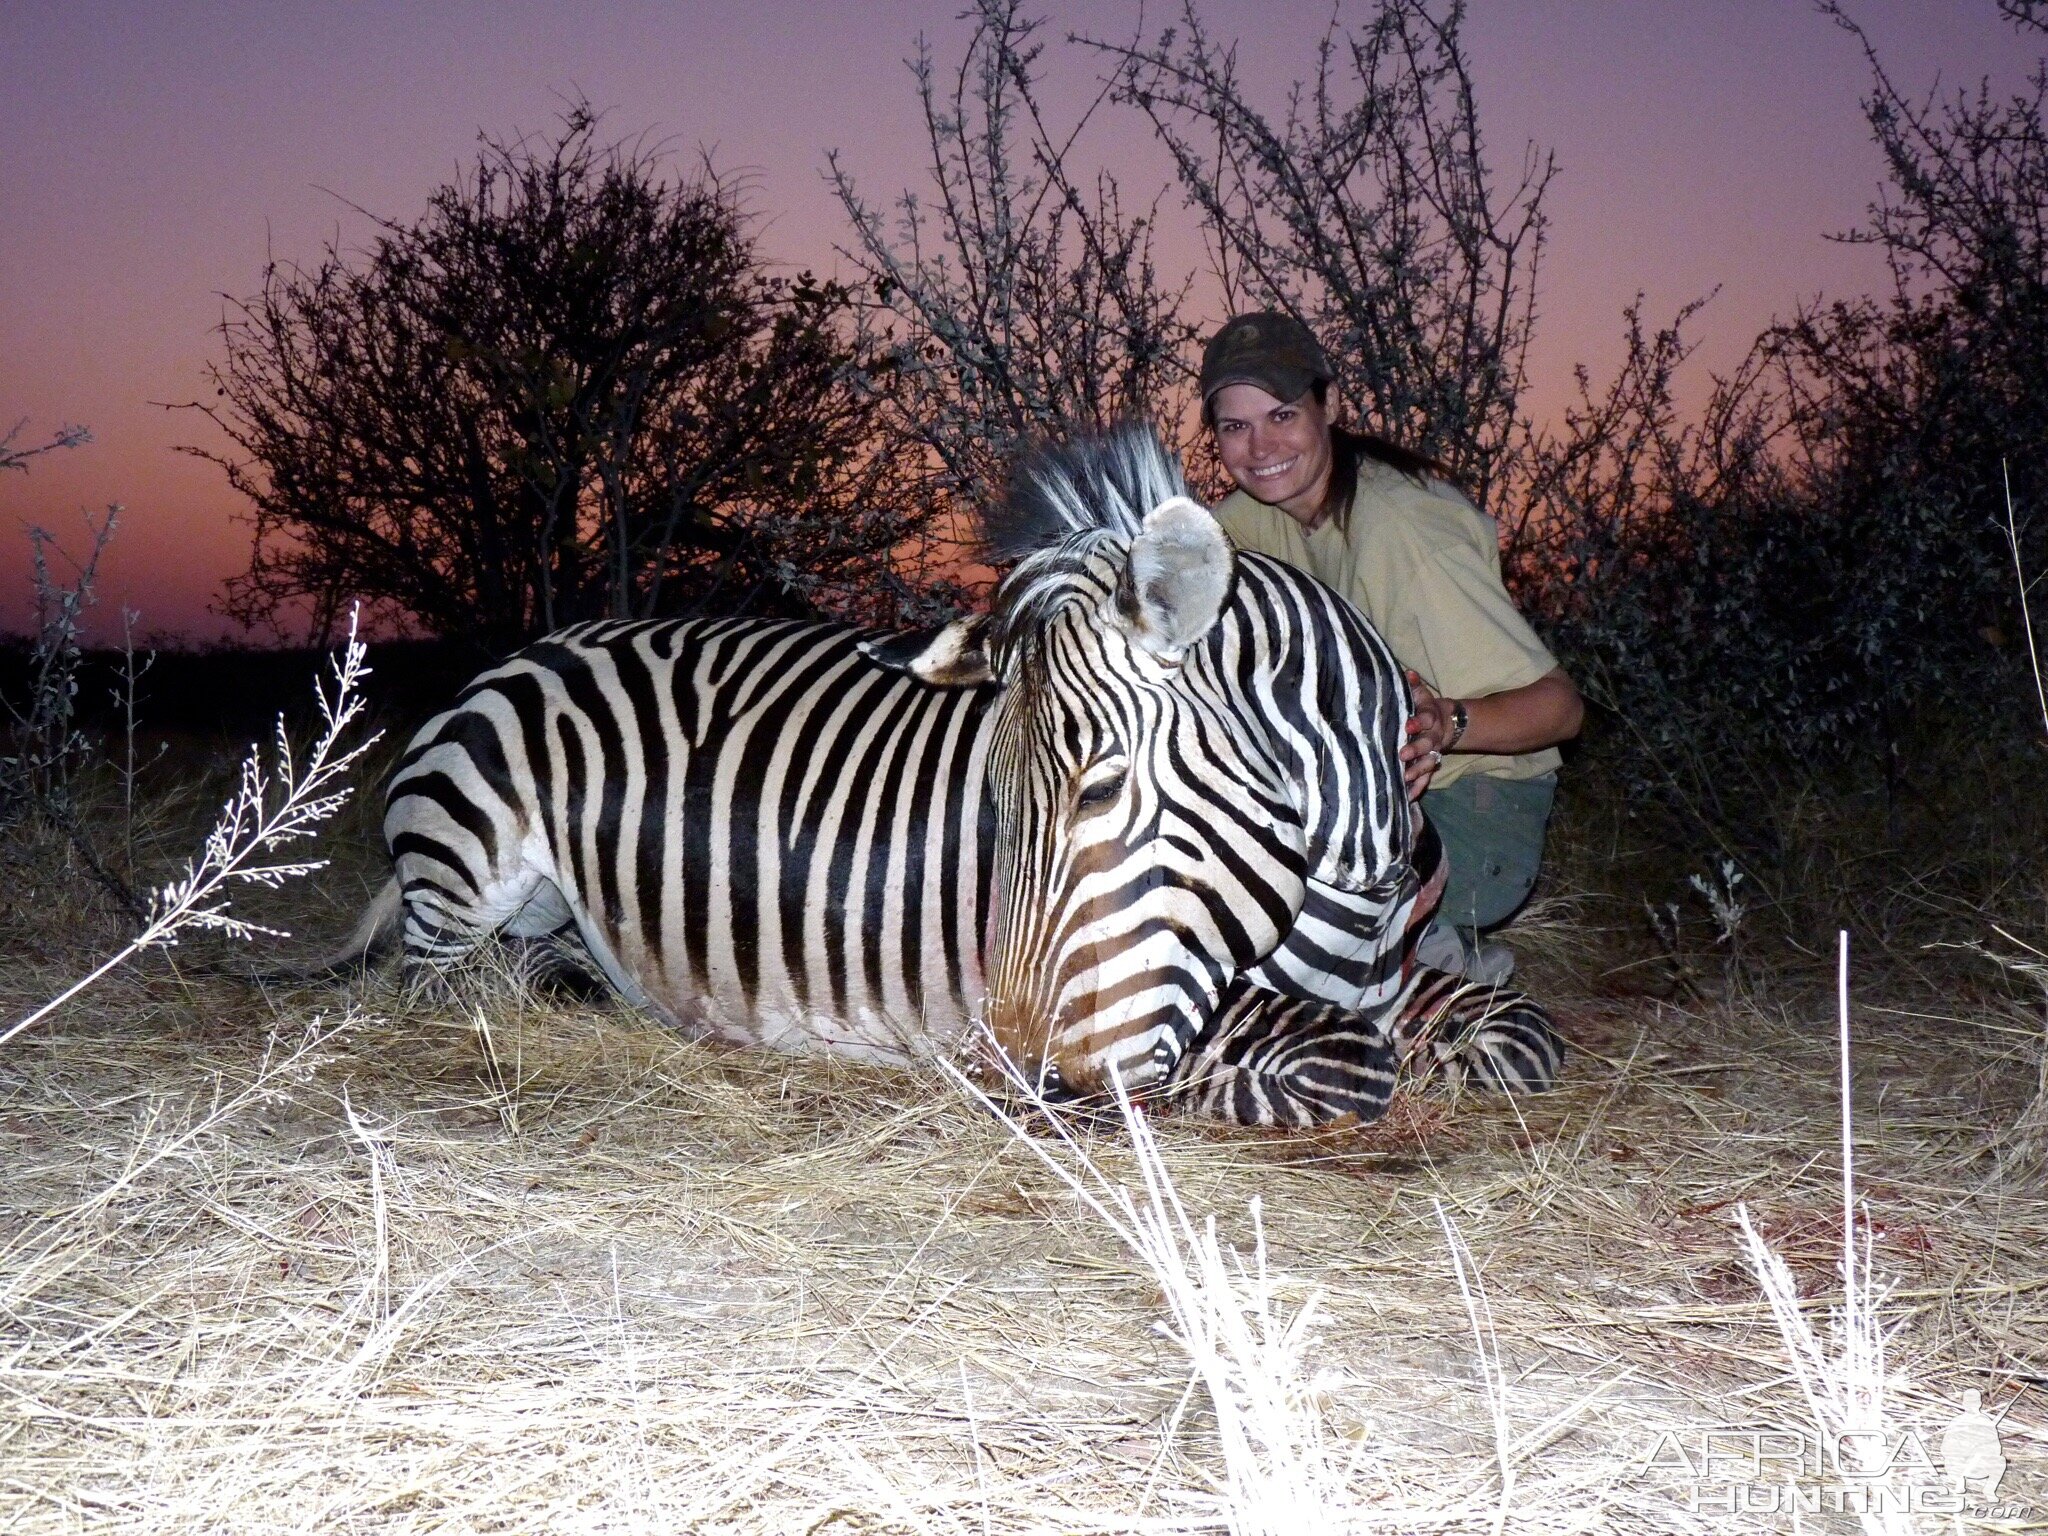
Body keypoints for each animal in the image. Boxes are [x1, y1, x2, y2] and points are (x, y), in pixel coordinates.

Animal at [331, 428, 1548, 1122]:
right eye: (995, 814)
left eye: (1097, 793)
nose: (1024, 1072)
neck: (1348, 894)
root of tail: (532, 647)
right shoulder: (1193, 1002)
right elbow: (1344, 1068)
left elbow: (1516, 1036)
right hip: (469, 866)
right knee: (444, 983)